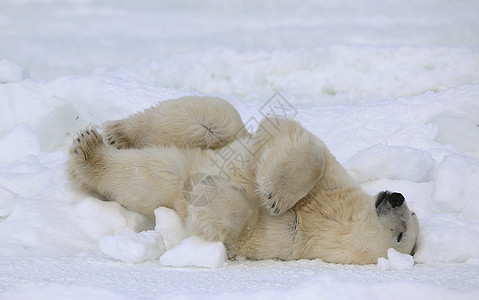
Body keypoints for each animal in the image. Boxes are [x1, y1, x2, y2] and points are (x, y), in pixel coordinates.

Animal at [68, 96, 420, 264]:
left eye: (402, 235)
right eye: (413, 215)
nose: (397, 197)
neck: (324, 216)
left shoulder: (290, 241)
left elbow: (237, 230)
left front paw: (210, 191)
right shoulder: (332, 181)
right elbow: (301, 143)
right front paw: (275, 194)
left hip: (174, 171)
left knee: (151, 175)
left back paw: (88, 153)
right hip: (222, 135)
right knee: (211, 117)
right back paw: (117, 133)